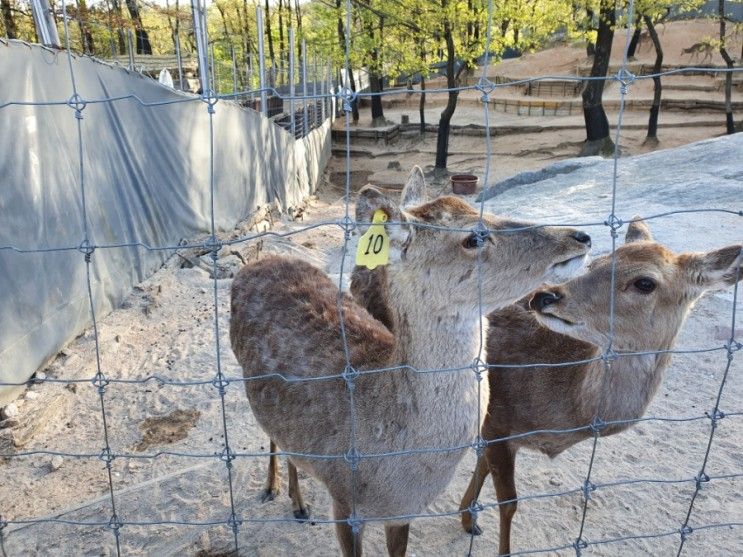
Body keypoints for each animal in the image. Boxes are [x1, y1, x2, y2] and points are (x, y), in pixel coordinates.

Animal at [230, 166, 588, 556]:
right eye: (474, 237)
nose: (580, 236)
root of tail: (258, 261)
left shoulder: (403, 512)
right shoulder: (343, 500)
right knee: (271, 433)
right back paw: (283, 495)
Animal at [460, 219, 743, 552]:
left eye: (645, 283)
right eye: (595, 264)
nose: (544, 296)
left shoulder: (493, 426)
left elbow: (484, 467)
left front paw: (468, 520)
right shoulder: (498, 422)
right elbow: (508, 503)